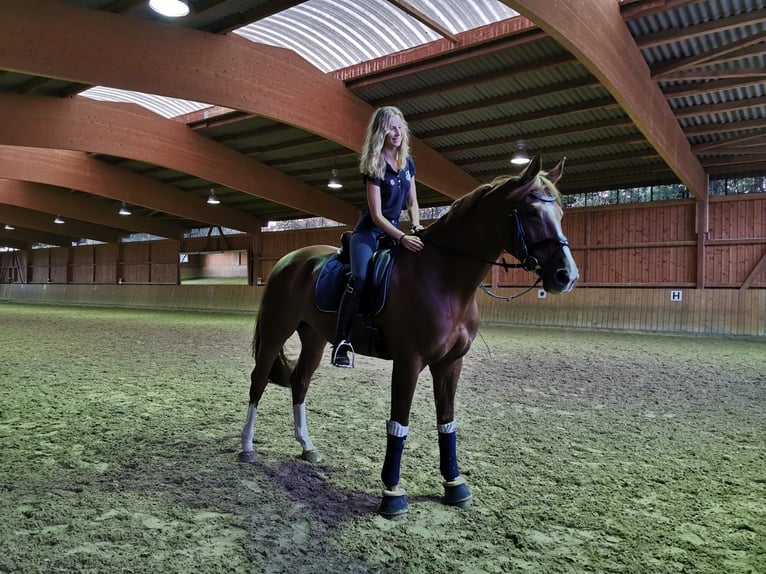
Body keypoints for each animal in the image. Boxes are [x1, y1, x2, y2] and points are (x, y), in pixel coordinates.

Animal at [237, 155, 580, 520]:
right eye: (530, 212)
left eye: (560, 213)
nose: (567, 276)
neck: (443, 278)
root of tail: (290, 260)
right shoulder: (408, 362)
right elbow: (398, 424)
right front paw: (392, 493)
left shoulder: (450, 364)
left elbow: (447, 423)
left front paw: (455, 485)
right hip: (277, 329)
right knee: (258, 380)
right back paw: (246, 447)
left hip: (314, 336)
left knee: (300, 382)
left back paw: (307, 446)